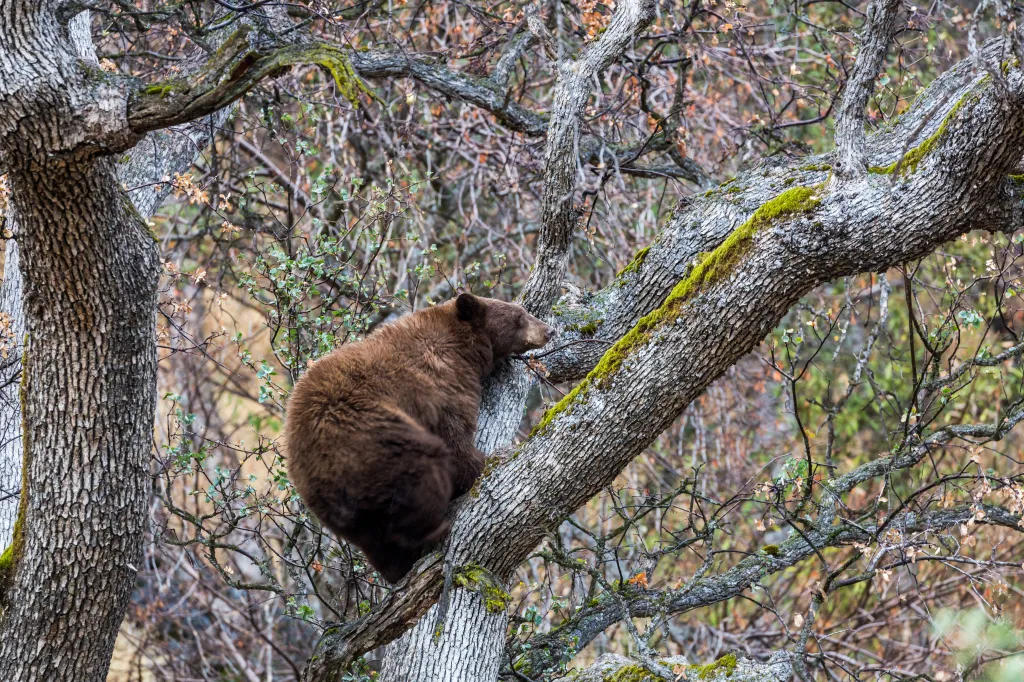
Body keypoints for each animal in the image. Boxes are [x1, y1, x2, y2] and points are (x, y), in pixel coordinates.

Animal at [284, 293, 553, 583]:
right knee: (424, 472)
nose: (549, 330)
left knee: (374, 540)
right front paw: (485, 462)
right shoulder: (443, 383)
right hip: (379, 441)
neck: (460, 345)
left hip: (338, 509)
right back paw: (435, 529)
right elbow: (455, 436)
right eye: (519, 316)